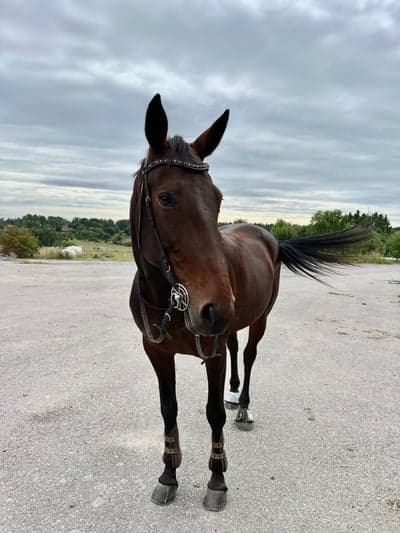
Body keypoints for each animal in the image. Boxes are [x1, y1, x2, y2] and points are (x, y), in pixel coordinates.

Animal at [130, 93, 372, 510]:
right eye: (166, 198)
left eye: (217, 198)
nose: (213, 307)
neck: (168, 300)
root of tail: (268, 236)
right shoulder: (156, 350)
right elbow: (168, 409)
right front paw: (168, 474)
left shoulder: (210, 350)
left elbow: (212, 414)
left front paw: (217, 480)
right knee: (234, 345)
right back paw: (233, 393)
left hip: (258, 319)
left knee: (248, 354)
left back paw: (241, 405)